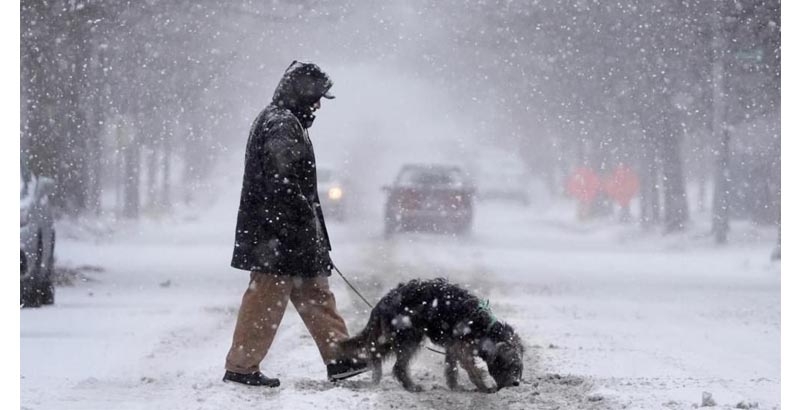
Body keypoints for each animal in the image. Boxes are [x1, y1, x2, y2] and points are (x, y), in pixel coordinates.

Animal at [336, 278, 524, 392]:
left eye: (519, 367)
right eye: (509, 365)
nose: (516, 383)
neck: (485, 328)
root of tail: (383, 301)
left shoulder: (453, 346)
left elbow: (451, 368)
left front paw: (454, 387)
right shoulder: (462, 347)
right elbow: (472, 369)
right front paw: (484, 387)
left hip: (394, 336)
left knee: (375, 352)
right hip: (408, 336)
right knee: (397, 365)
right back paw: (411, 386)